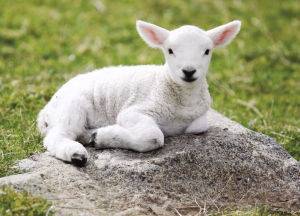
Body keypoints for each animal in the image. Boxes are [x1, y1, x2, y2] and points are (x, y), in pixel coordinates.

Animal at [37, 20, 241, 166]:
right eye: (170, 51)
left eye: (207, 51)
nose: (189, 71)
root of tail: (44, 111)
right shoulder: (134, 111)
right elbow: (154, 137)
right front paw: (103, 138)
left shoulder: (199, 118)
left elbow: (199, 126)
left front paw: (101, 136)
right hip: (71, 107)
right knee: (57, 136)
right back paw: (76, 154)